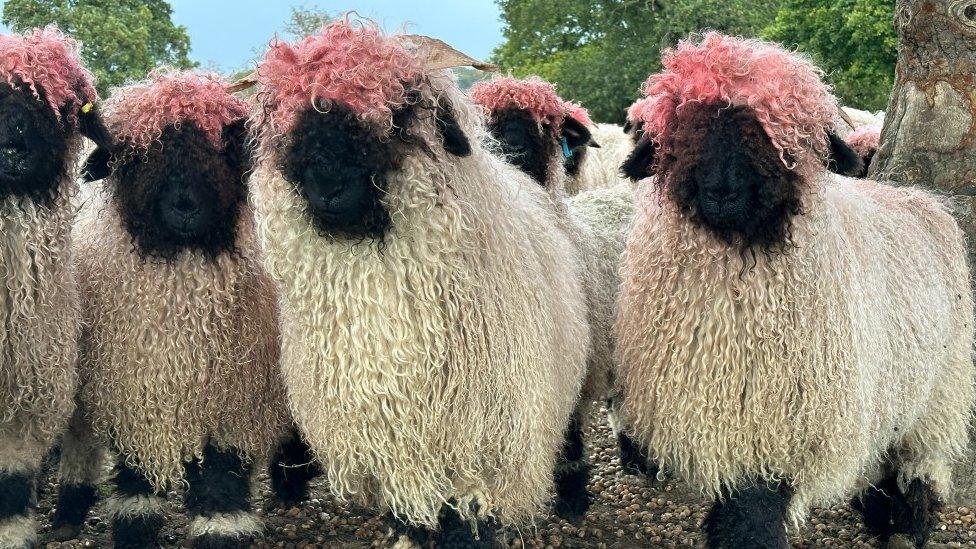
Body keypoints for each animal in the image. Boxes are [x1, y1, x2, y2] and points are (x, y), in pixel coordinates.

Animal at [56, 70, 292, 544]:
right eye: (137, 157)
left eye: (222, 148)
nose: (185, 206)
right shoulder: (132, 393)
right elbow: (136, 477)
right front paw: (135, 529)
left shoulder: (232, 401)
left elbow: (221, 477)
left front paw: (221, 532)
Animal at [248, 19, 592, 544]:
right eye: (288, 118)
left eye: (400, 110)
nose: (327, 187)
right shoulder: (385, 431)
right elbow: (409, 501)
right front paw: (408, 530)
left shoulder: (479, 431)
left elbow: (467, 509)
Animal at [612, 32, 972, 544]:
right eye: (684, 125)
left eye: (773, 131)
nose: (721, 190)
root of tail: (919, 197)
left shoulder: (785, 420)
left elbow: (754, 508)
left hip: (941, 387)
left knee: (917, 461)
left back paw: (911, 524)